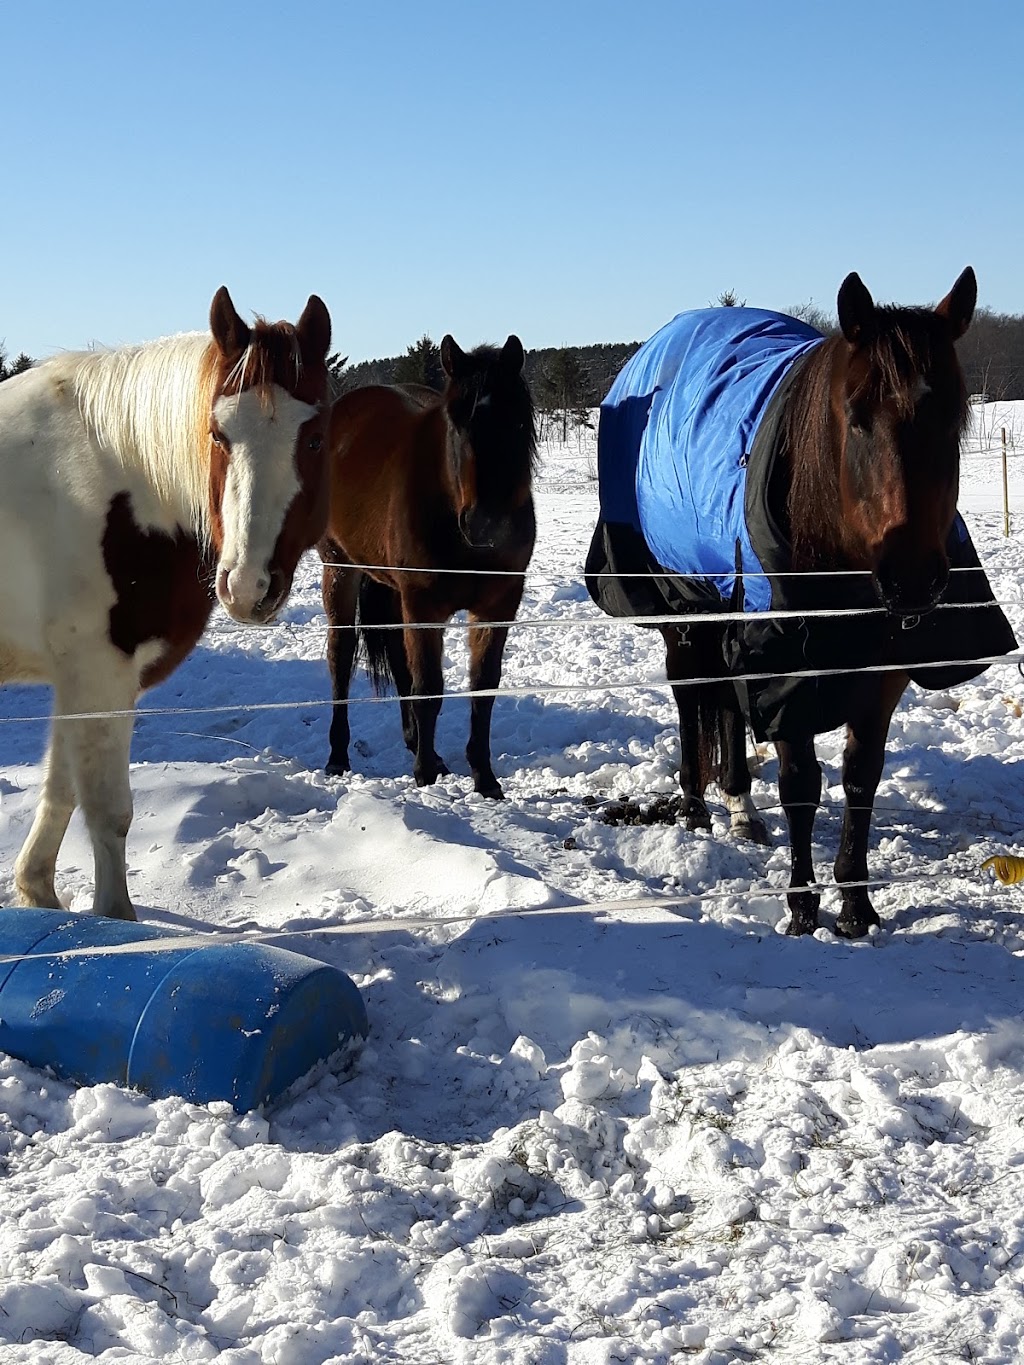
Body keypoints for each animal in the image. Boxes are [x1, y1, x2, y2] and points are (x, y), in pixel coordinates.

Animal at [0, 292, 333, 922]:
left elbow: (61, 789)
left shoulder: (81, 680)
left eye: (312, 439)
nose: (248, 585)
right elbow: (107, 810)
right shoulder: (99, 673)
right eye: (217, 434)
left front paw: (38, 895)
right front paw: (116, 922)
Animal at [319, 333, 537, 797]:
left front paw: (484, 777)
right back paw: (338, 756)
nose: (484, 523)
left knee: (398, 659)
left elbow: (482, 688)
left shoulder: (496, 606)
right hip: (340, 570)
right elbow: (429, 688)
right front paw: (423, 775)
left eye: (516, 421)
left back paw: (423, 747)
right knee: (340, 657)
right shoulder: (423, 604)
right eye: (455, 422)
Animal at [584, 274, 1021, 939]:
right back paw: (695, 807)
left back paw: (739, 805)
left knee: (725, 702)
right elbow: (801, 784)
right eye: (857, 418)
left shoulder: (881, 669)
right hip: (682, 607)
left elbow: (861, 777)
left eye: (956, 417)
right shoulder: (785, 666)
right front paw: (800, 906)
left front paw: (857, 906)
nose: (912, 579)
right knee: (690, 693)